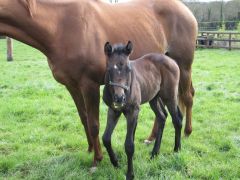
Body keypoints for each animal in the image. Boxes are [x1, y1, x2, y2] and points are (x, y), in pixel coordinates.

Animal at [102, 41, 183, 179]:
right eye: (109, 69)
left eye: (129, 69)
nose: (119, 98)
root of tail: (171, 61)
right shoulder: (114, 110)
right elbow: (106, 138)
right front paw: (116, 163)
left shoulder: (133, 111)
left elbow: (129, 145)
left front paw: (130, 174)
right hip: (154, 98)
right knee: (162, 116)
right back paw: (154, 153)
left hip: (170, 96)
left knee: (176, 120)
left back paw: (176, 149)